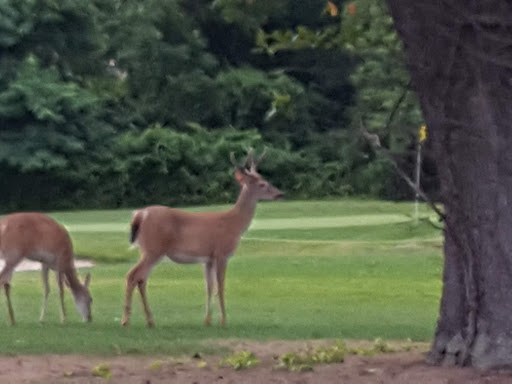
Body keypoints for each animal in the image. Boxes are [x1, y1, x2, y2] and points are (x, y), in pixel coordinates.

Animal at [123, 149, 284, 328]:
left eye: (266, 181)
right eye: (262, 184)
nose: (280, 193)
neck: (234, 224)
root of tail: (140, 214)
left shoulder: (208, 258)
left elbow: (209, 287)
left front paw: (207, 320)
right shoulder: (222, 253)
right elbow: (220, 286)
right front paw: (223, 320)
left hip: (147, 250)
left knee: (141, 279)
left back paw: (150, 320)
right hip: (154, 249)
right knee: (132, 275)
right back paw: (126, 320)